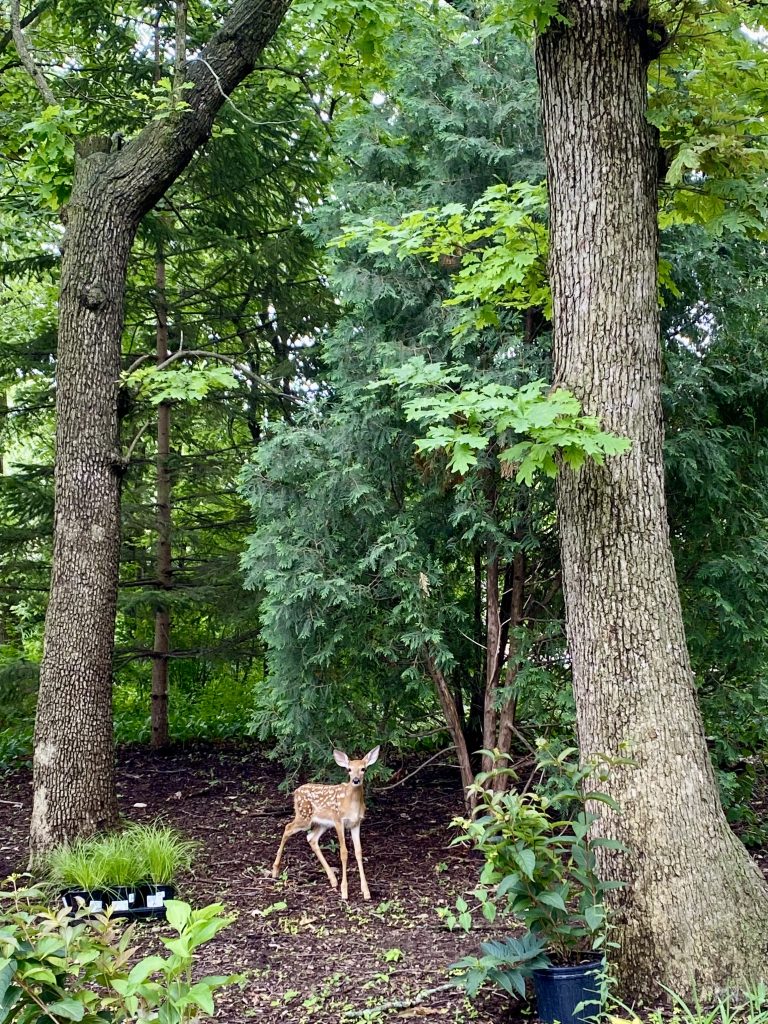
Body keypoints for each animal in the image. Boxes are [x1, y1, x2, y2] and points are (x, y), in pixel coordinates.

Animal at [271, 746, 380, 901]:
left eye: (363, 769)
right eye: (349, 769)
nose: (356, 780)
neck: (351, 803)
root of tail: (296, 792)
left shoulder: (356, 823)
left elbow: (358, 852)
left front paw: (366, 891)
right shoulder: (338, 820)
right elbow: (344, 852)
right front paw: (344, 892)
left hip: (322, 824)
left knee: (311, 838)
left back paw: (333, 879)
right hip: (304, 816)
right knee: (287, 827)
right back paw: (275, 870)